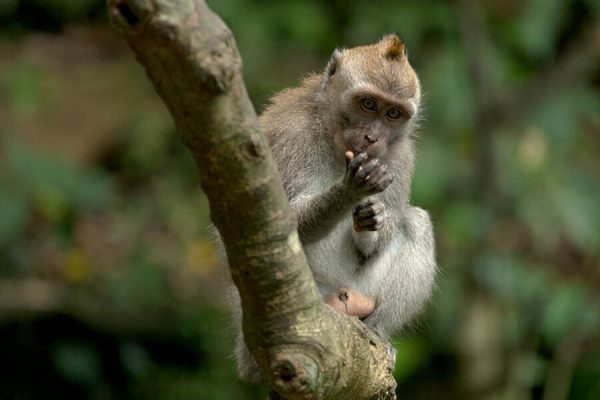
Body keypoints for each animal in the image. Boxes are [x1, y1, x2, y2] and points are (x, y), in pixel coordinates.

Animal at [229, 36, 436, 382]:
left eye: (393, 113)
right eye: (368, 104)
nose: (372, 137)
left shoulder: (400, 155)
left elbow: (385, 229)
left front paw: (372, 220)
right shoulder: (293, 134)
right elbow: (281, 221)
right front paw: (349, 191)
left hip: (363, 289)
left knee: (416, 223)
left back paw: (378, 331)